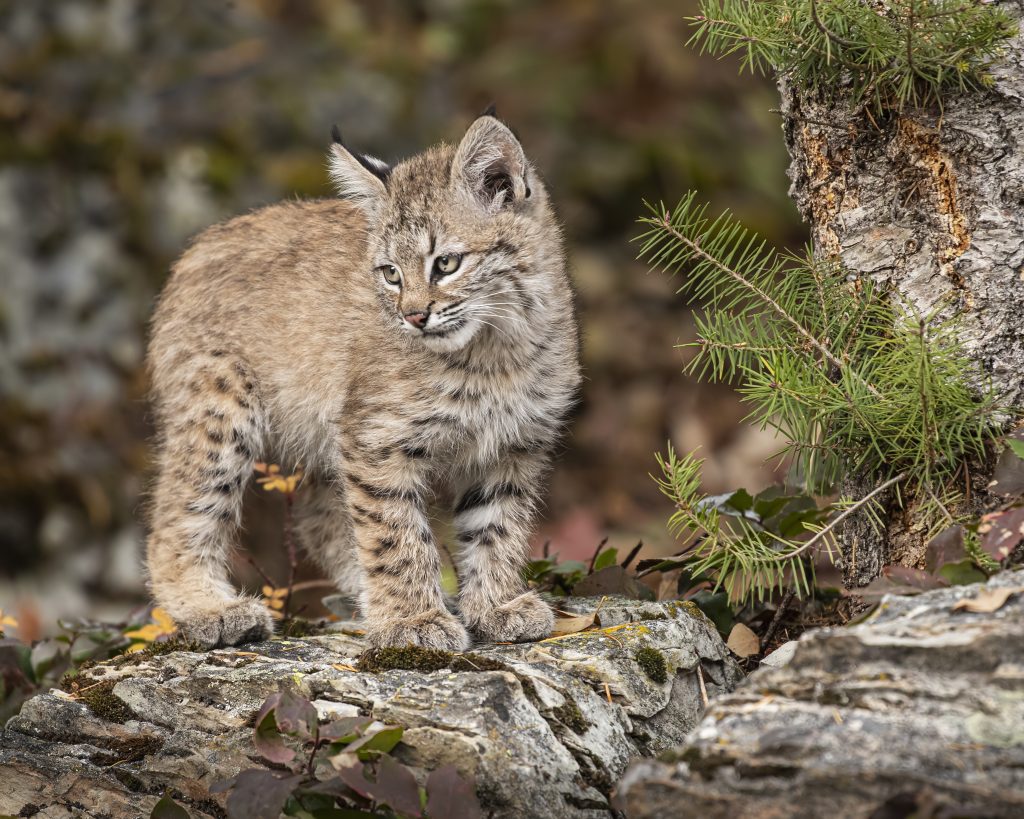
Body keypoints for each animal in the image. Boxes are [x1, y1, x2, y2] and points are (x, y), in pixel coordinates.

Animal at [145, 115, 581, 651]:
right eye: (390, 274)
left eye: (446, 264)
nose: (413, 317)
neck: (497, 345)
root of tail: (200, 243)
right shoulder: (376, 438)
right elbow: (395, 532)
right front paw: (412, 621)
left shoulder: (515, 444)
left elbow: (497, 527)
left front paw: (494, 605)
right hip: (221, 407)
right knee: (175, 517)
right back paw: (211, 609)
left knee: (318, 519)